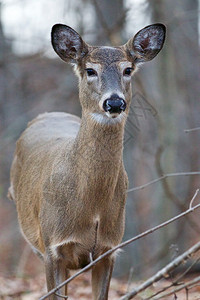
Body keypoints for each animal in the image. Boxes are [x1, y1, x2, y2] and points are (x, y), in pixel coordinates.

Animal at [8, 22, 166, 298]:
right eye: (90, 70)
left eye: (128, 69)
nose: (114, 102)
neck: (91, 207)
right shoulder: (52, 246)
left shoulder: (108, 248)